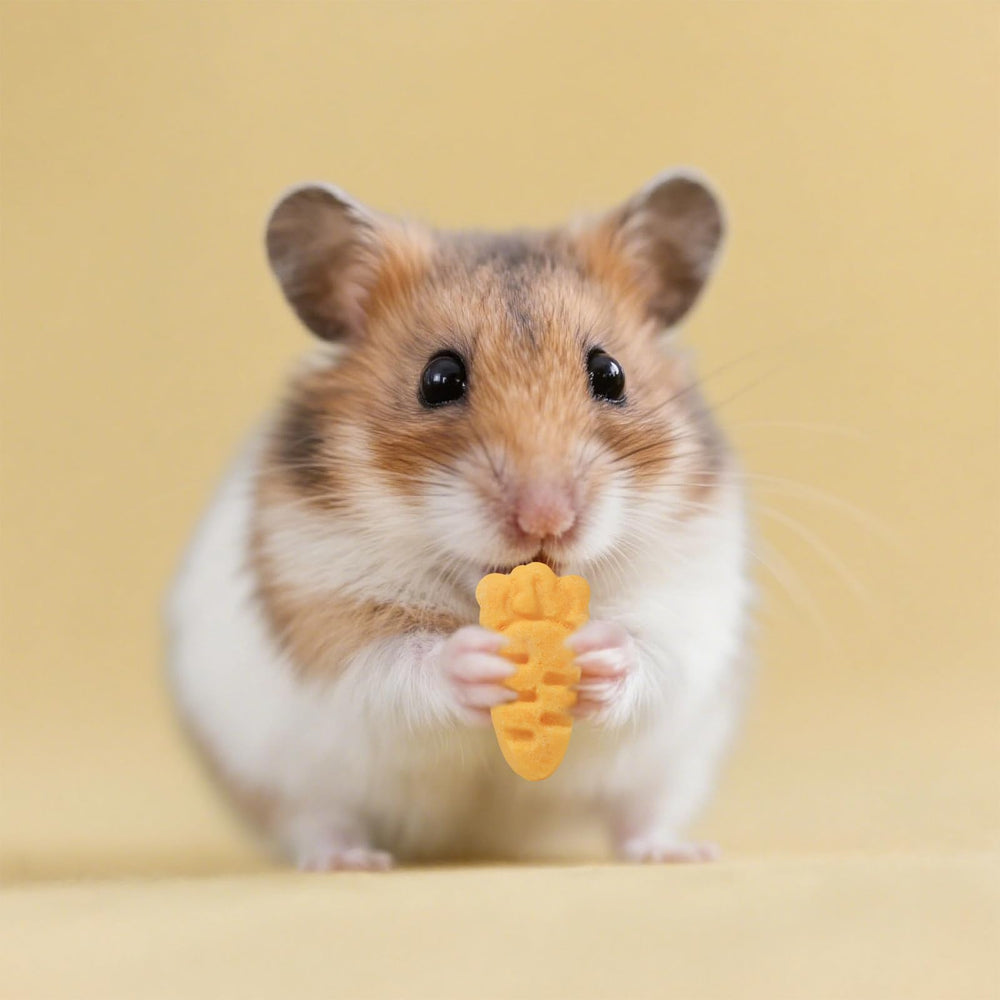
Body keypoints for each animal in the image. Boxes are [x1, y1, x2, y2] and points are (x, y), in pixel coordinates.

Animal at [166, 171, 752, 870]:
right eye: (439, 378)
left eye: (610, 373)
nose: (547, 517)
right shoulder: (322, 602)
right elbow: (395, 664)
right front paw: (479, 660)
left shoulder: (692, 590)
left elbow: (656, 650)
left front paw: (595, 653)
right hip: (283, 776)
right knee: (316, 819)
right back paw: (348, 861)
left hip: (674, 766)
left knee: (642, 815)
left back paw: (677, 854)